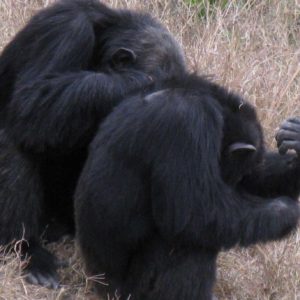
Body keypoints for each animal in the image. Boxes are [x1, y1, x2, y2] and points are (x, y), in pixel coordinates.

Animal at [74, 73, 300, 300]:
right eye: (236, 175)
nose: (233, 182)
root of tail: (94, 281)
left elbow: (257, 178)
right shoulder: (187, 123)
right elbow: (196, 213)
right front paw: (286, 211)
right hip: (129, 292)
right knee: (188, 246)